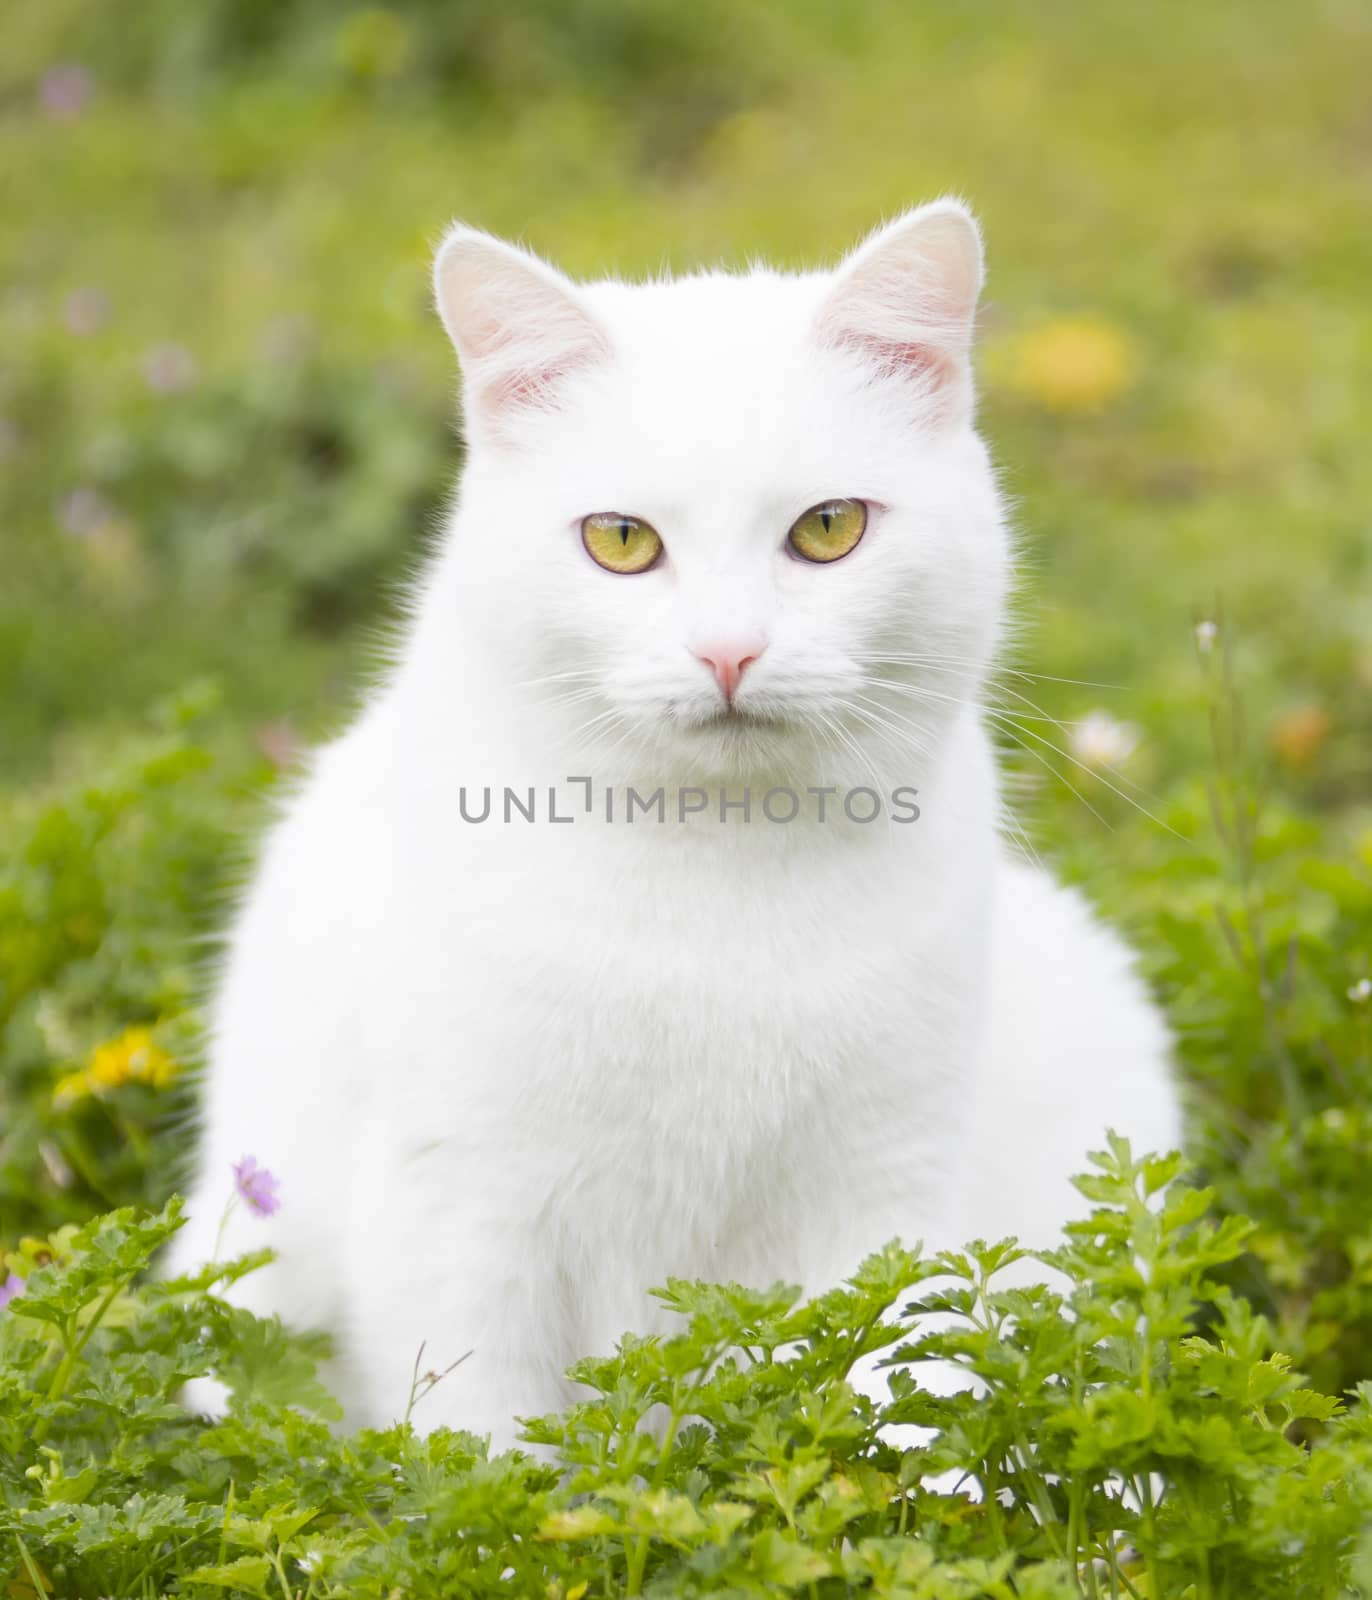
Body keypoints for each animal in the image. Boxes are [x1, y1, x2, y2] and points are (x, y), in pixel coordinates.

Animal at [168, 203, 1176, 1452]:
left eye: (829, 527)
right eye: (618, 540)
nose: (728, 651)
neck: (716, 870)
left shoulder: (888, 1195)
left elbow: (909, 1418)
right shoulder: (460, 1216)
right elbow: (482, 1452)